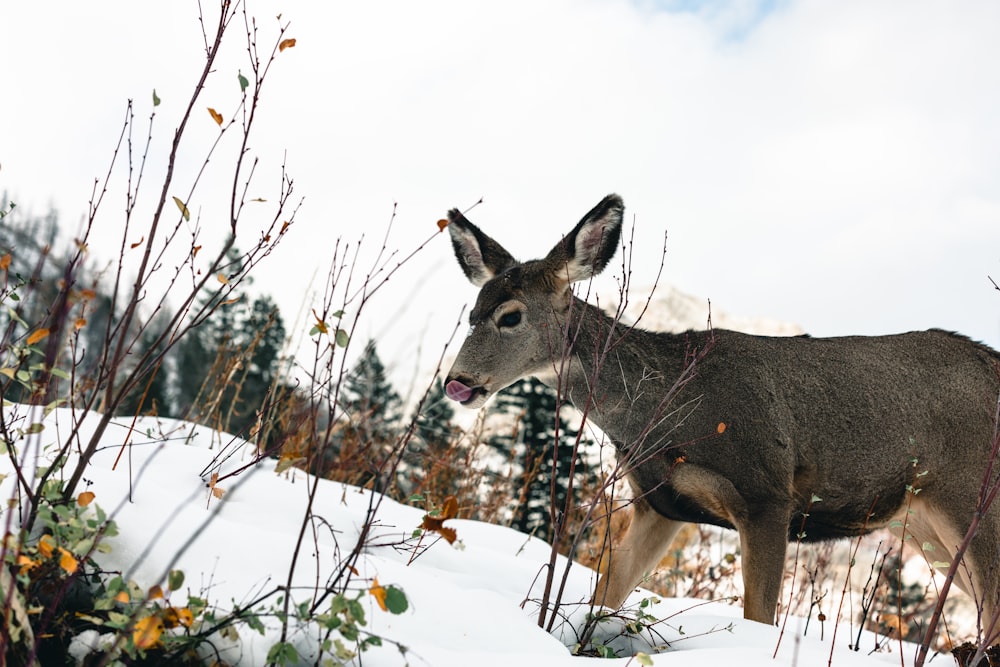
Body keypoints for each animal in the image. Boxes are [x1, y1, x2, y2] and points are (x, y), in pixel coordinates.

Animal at [442, 193, 1000, 628]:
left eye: (510, 316)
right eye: (470, 314)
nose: (456, 382)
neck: (667, 412)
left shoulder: (766, 493)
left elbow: (759, 618)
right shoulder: (659, 503)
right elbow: (604, 599)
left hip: (973, 496)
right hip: (924, 525)